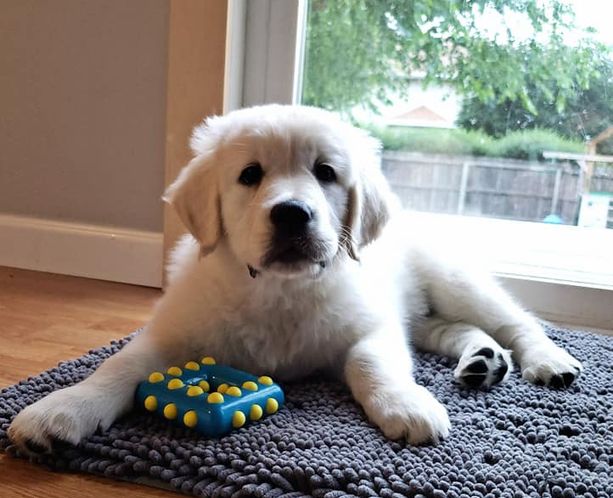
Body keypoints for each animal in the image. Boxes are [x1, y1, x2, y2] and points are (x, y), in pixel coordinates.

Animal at [8, 104, 583, 451]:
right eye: (249, 175)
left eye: (325, 173)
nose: (291, 214)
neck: (278, 290)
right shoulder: (171, 333)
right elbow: (118, 366)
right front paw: (61, 408)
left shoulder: (373, 326)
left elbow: (371, 362)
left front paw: (406, 403)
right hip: (428, 311)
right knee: (453, 330)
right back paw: (482, 360)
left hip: (453, 278)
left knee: (516, 322)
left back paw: (549, 361)